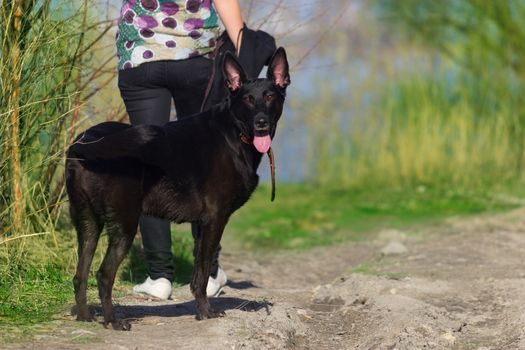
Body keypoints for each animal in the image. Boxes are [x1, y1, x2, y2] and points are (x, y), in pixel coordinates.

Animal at [64, 47, 290, 330]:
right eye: (248, 100)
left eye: (270, 96)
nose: (261, 123)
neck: (234, 132)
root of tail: (86, 143)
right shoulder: (214, 219)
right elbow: (203, 272)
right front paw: (205, 312)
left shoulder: (203, 224)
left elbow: (197, 274)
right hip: (124, 224)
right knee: (104, 274)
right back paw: (113, 321)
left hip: (88, 223)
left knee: (80, 274)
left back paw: (84, 316)